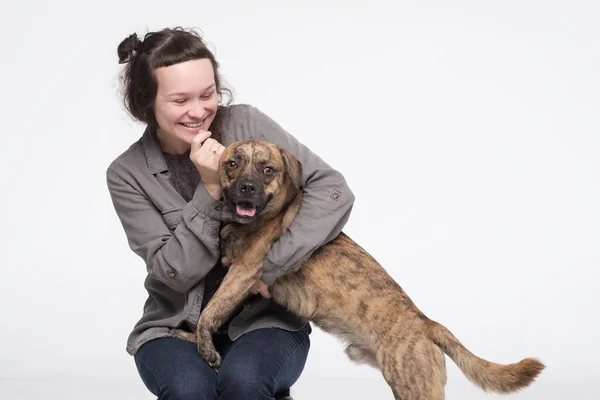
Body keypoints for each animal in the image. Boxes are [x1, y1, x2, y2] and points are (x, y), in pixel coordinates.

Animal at [170, 140, 544, 400]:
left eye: (267, 169)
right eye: (232, 164)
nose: (247, 188)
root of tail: (426, 323)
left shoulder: (244, 273)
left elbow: (210, 311)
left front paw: (202, 346)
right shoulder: (236, 280)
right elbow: (213, 312)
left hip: (414, 387)